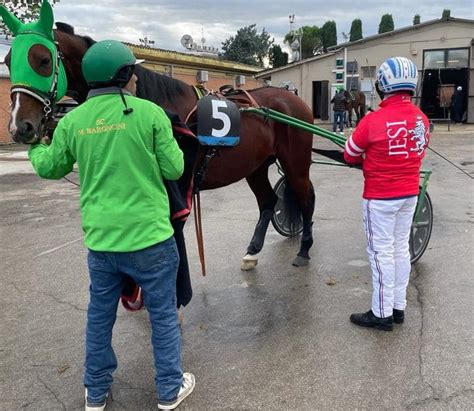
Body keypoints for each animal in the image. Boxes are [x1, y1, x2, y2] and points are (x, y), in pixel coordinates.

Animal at [5, 24, 314, 272]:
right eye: (8, 61)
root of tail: (291, 97)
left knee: (306, 199)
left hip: (295, 163)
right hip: (255, 166)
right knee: (269, 202)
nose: (21, 126)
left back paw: (304, 250)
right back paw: (252, 252)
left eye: (43, 59)